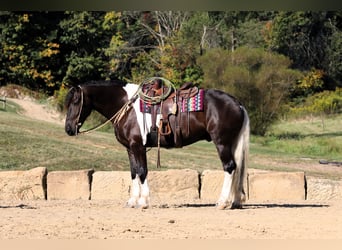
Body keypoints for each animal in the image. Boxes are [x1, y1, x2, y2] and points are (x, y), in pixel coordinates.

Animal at [64, 78, 250, 209]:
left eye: (76, 101)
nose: (68, 129)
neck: (126, 106)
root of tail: (238, 104)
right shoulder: (130, 148)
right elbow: (134, 172)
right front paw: (132, 201)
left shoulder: (138, 146)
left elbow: (142, 171)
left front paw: (143, 202)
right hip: (232, 143)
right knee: (237, 168)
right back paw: (235, 202)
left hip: (222, 143)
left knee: (229, 167)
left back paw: (222, 202)